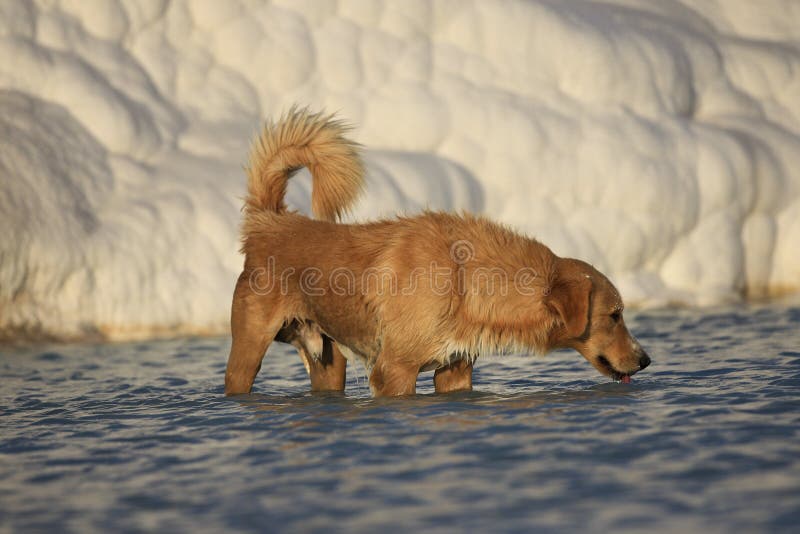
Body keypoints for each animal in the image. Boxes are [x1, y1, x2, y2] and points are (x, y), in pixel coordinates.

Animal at [222, 108, 648, 398]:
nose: (646, 359)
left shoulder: (455, 369)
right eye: (614, 315)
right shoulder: (394, 370)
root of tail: (269, 221)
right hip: (247, 350)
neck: (466, 278)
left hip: (327, 361)